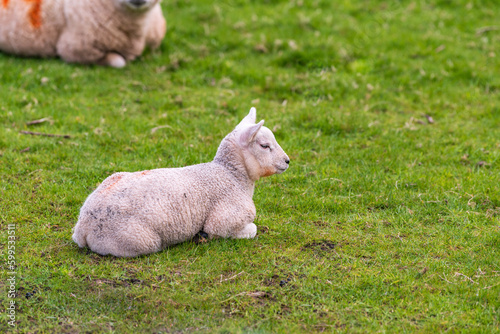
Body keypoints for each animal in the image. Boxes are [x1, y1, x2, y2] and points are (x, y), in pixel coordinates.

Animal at [71, 108, 290, 258]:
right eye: (264, 146)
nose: (287, 161)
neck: (230, 175)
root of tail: (83, 227)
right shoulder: (223, 221)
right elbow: (250, 230)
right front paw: (204, 236)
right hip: (136, 239)